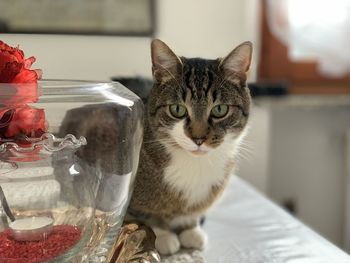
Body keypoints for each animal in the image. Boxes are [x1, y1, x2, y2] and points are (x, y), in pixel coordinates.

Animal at [127, 39, 253, 256]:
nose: (199, 138)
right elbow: (148, 214)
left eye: (220, 110)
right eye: (177, 109)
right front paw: (163, 235)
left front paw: (190, 229)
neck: (195, 165)